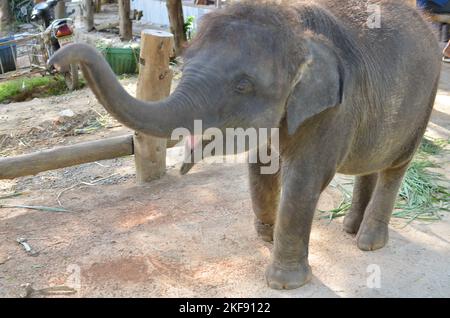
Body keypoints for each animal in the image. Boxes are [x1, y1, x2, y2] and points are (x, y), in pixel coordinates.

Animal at [51, 0, 442, 290]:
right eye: (184, 64)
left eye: (242, 86)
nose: (57, 60)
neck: (298, 25)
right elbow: (260, 167)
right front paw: (266, 237)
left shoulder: (335, 109)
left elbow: (304, 180)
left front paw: (285, 282)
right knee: (372, 162)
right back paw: (349, 228)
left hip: (425, 101)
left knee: (395, 167)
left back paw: (367, 242)